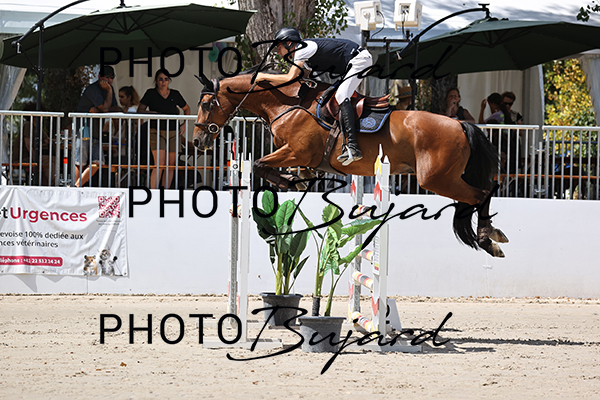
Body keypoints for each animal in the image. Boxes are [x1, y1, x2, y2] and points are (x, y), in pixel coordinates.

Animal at [192, 72, 509, 258]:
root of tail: (460, 124)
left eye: (207, 105)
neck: (288, 103)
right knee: (480, 195)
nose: (197, 140)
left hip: (436, 179)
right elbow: (267, 167)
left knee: (481, 194)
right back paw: (492, 235)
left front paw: (289, 181)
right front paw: (296, 180)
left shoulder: (297, 152)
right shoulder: (296, 156)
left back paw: (488, 239)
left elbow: (259, 164)